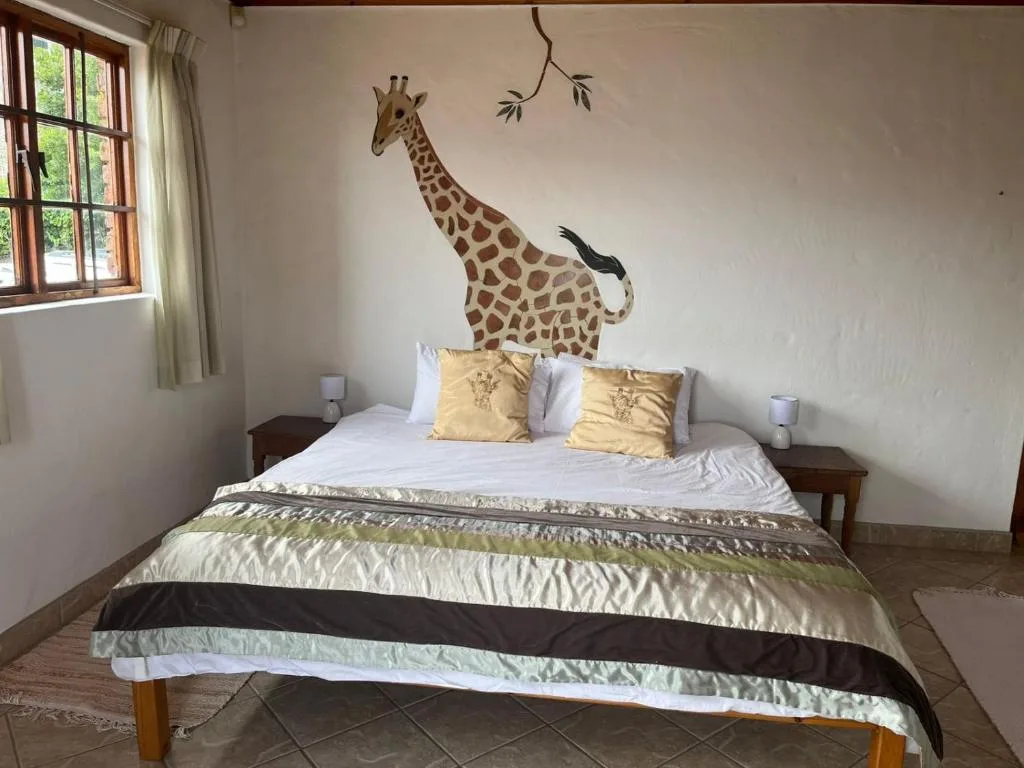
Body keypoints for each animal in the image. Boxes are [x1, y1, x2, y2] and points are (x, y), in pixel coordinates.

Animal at [371, 75, 633, 359]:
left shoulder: (489, 330)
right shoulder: (484, 332)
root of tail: (601, 304)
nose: (376, 145)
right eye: (378, 109)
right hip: (553, 345)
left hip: (576, 342)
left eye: (401, 112)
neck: (470, 253)